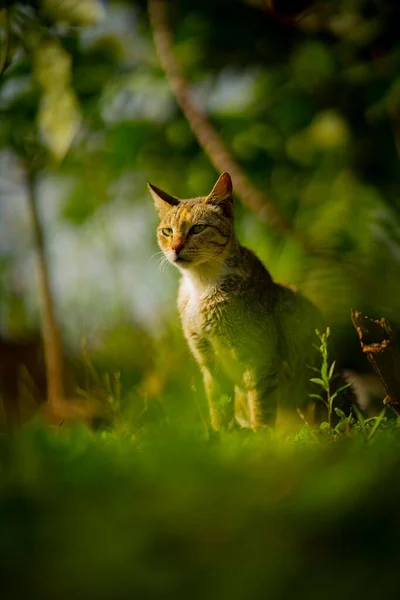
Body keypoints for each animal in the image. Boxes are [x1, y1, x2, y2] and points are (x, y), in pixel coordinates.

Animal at [148, 173, 324, 432]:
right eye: (168, 231)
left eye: (197, 228)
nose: (175, 247)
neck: (202, 284)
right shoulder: (208, 360)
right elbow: (219, 407)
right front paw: (221, 435)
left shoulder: (259, 358)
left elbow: (260, 407)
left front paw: (261, 435)